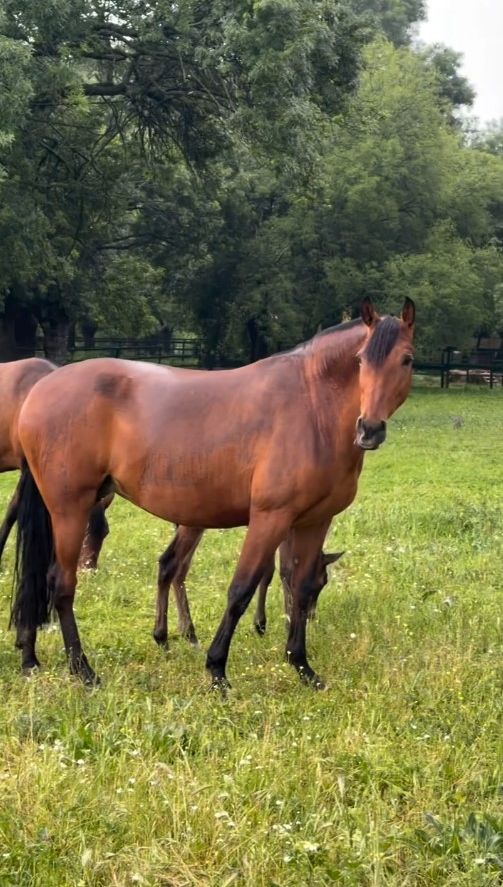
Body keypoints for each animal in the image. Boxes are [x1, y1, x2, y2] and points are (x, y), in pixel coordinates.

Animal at [11, 297, 415, 690]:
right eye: (361, 359)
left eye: (406, 359)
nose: (369, 429)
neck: (313, 407)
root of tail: (42, 388)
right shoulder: (270, 518)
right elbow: (241, 590)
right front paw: (217, 669)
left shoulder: (314, 522)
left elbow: (298, 589)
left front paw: (302, 667)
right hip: (70, 509)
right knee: (61, 584)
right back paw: (83, 671)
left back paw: (31, 659)